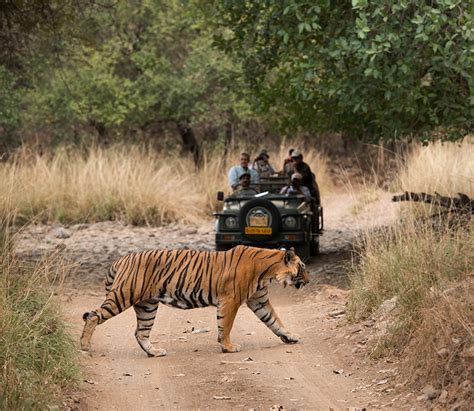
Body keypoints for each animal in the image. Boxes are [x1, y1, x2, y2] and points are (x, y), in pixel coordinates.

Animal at [79, 245, 310, 358]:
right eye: (303, 267)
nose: (308, 281)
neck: (268, 272)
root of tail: (121, 259)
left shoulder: (258, 300)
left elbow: (275, 320)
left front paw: (290, 336)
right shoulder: (231, 300)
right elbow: (225, 325)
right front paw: (228, 347)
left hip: (147, 306)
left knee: (140, 333)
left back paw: (155, 352)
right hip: (123, 295)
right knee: (94, 315)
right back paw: (84, 346)